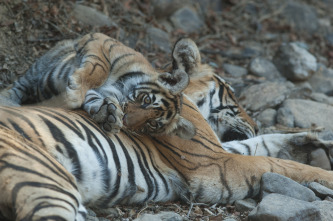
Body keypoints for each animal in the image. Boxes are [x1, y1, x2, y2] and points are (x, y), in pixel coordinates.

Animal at [0, 32, 195, 140]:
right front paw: (76, 92)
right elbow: (101, 66)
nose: (126, 121)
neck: (118, 88)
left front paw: (109, 115)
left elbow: (95, 99)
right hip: (37, 69)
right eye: (146, 100)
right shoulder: (100, 39)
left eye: (152, 124)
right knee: (16, 87)